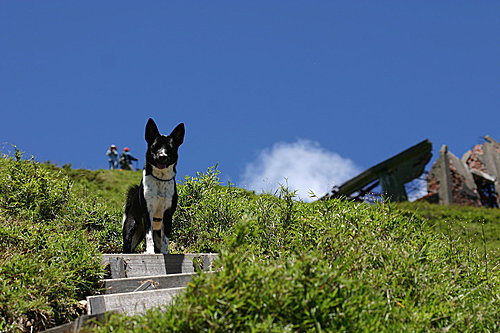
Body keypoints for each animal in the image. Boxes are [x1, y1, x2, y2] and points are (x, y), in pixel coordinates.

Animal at [122, 118, 185, 253]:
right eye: (155, 147)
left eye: (170, 148)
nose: (162, 156)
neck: (160, 179)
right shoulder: (148, 213)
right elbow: (149, 236)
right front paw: (150, 252)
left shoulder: (168, 215)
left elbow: (165, 239)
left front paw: (165, 252)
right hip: (131, 230)